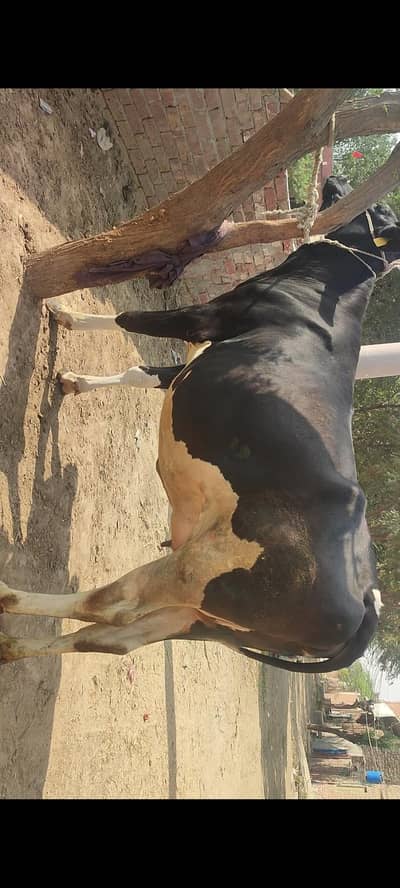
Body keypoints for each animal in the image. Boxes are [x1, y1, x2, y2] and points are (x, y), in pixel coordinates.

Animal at [1, 176, 399, 671]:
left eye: (380, 210)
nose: (337, 179)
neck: (321, 291)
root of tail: (368, 600)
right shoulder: (199, 356)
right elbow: (141, 372)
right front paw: (75, 380)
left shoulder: (204, 316)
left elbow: (128, 318)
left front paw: (67, 313)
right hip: (204, 618)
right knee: (113, 640)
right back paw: (12, 647)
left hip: (201, 568)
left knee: (115, 605)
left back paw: (7, 596)